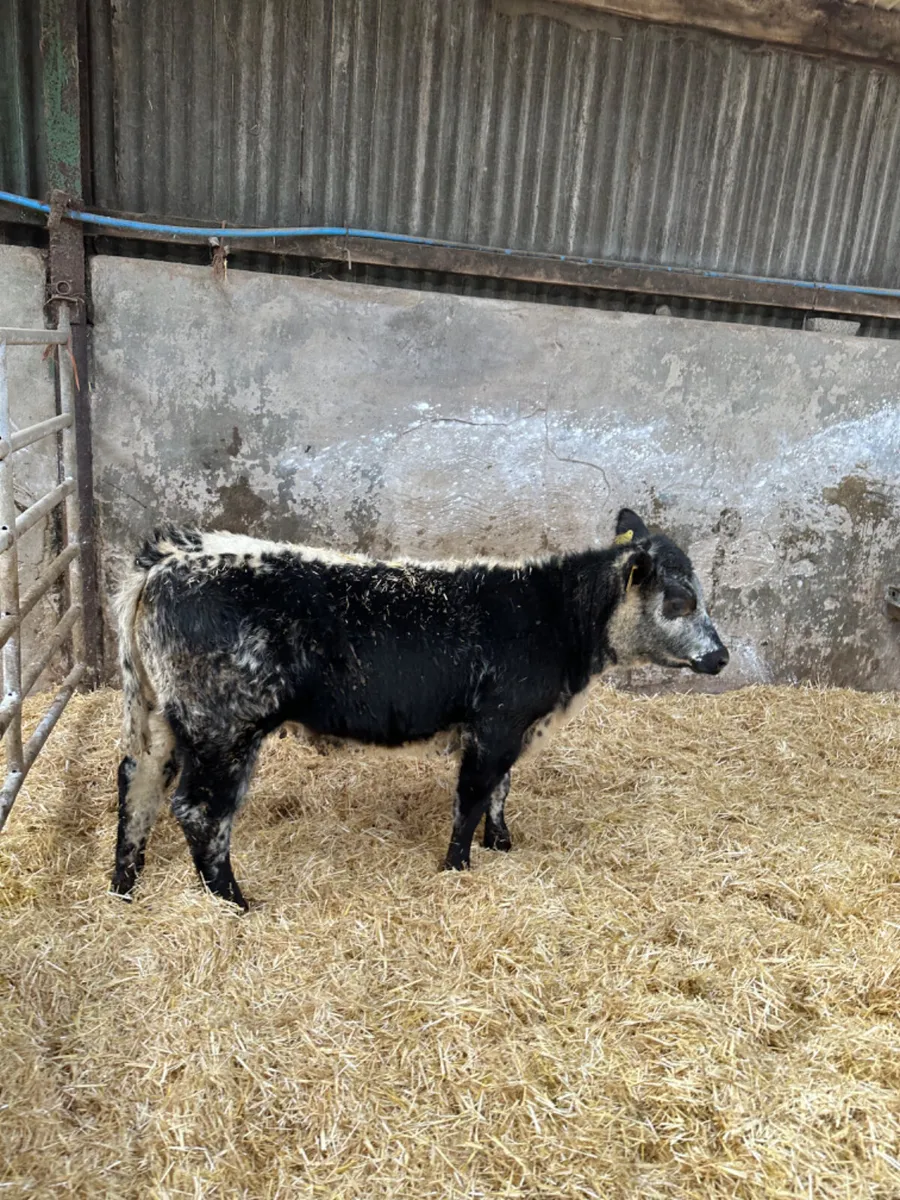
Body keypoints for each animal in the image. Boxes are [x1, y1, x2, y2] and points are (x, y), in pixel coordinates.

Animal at [111, 508, 728, 910]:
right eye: (680, 601)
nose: (721, 656)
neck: (551, 615)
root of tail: (169, 558)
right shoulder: (496, 722)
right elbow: (473, 796)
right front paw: (457, 868)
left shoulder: (509, 728)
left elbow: (501, 790)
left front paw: (502, 845)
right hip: (225, 727)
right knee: (199, 811)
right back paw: (234, 903)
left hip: (161, 719)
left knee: (137, 784)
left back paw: (124, 886)